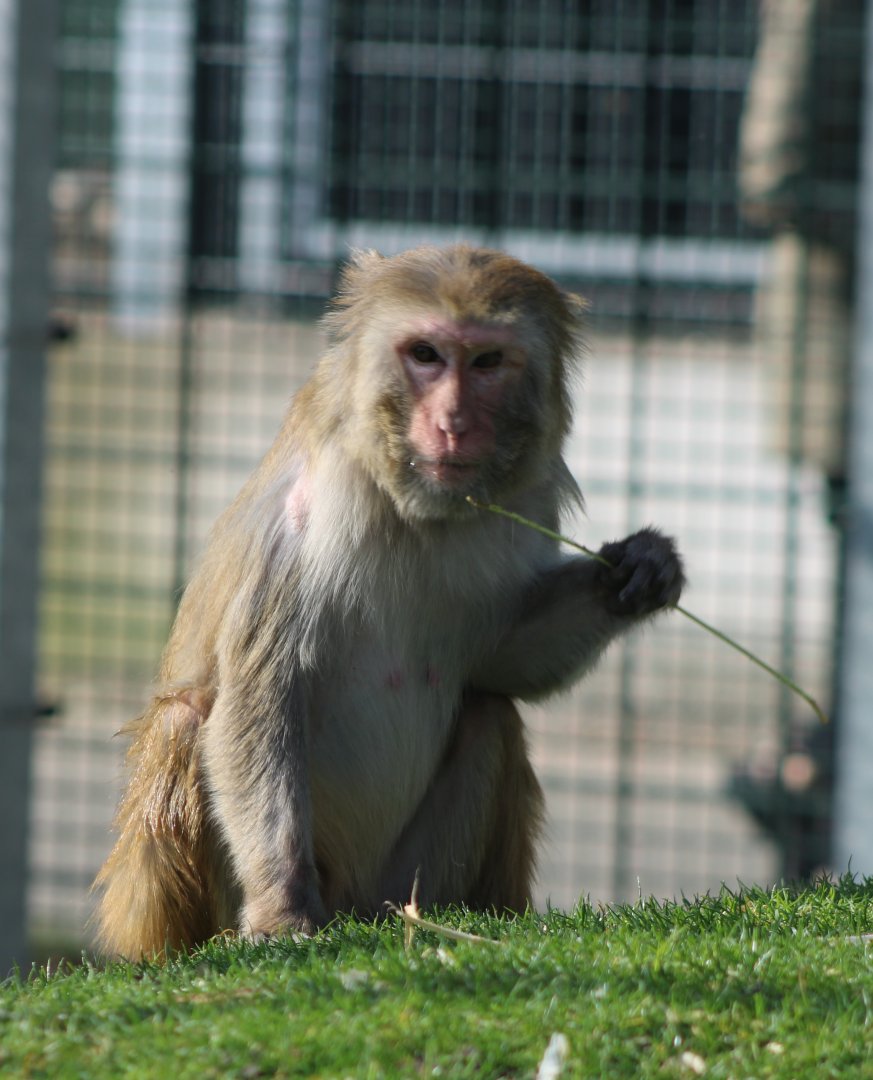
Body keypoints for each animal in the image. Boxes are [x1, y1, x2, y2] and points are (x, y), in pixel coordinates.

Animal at [93, 244, 685, 957]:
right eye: (425, 355)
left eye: (487, 362)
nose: (453, 423)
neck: (413, 512)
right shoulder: (304, 515)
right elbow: (261, 697)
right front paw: (281, 911)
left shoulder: (523, 508)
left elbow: (502, 659)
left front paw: (639, 570)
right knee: (186, 719)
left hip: (394, 887)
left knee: (489, 714)